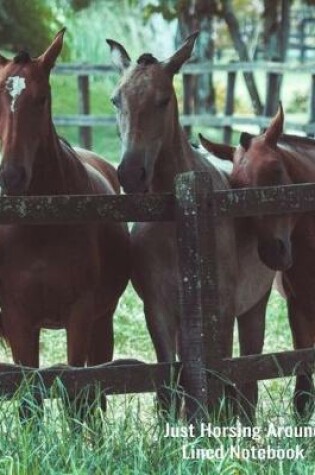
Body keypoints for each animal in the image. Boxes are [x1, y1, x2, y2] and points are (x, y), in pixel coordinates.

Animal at [0, 28, 131, 406]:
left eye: (42, 98)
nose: (11, 177)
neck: (41, 222)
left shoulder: (81, 313)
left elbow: (78, 390)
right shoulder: (18, 318)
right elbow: (28, 398)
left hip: (102, 321)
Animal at [107, 32, 276, 420]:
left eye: (163, 100)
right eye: (115, 100)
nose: (131, 174)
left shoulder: (222, 311)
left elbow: (221, 380)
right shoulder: (157, 310)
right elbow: (170, 384)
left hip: (254, 307)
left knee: (248, 378)